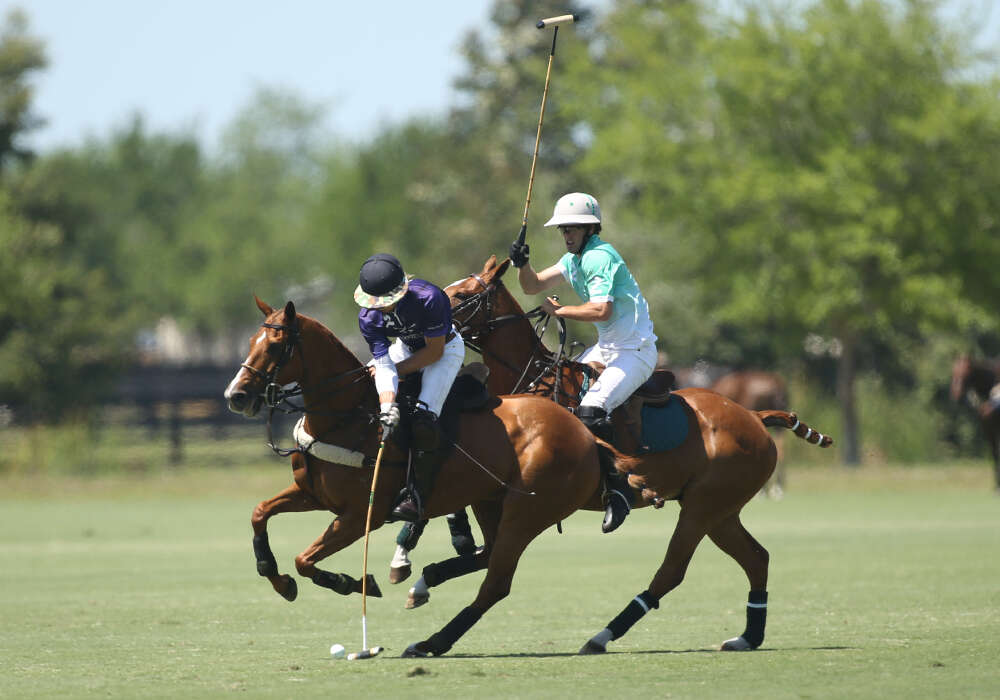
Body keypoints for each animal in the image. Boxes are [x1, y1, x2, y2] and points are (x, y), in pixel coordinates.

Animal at [446, 258, 836, 656]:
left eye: (461, 295)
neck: (534, 382)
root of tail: (755, 416)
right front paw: (457, 538)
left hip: (704, 506)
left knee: (672, 571)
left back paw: (602, 635)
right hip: (722, 511)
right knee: (757, 558)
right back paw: (748, 636)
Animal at [948, 352, 1000, 490]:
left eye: (965, 373)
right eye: (953, 372)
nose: (956, 395)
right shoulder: (988, 430)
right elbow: (994, 455)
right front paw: (996, 486)